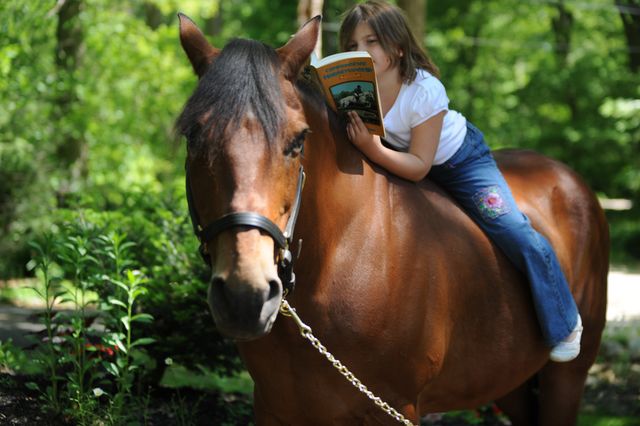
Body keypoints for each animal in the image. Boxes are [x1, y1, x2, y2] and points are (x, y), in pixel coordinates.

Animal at [177, 15, 609, 426]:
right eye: (193, 137)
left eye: (298, 141)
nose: (244, 296)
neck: (340, 259)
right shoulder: (274, 409)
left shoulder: (391, 408)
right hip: (509, 382)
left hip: (566, 380)